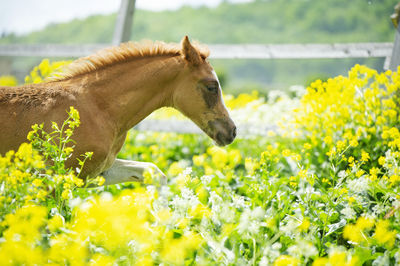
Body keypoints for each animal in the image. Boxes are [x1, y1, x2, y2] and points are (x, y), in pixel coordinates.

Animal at [0, 35, 236, 185]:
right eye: (212, 86)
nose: (232, 131)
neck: (96, 107)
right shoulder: (55, 174)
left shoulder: (99, 170)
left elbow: (153, 171)